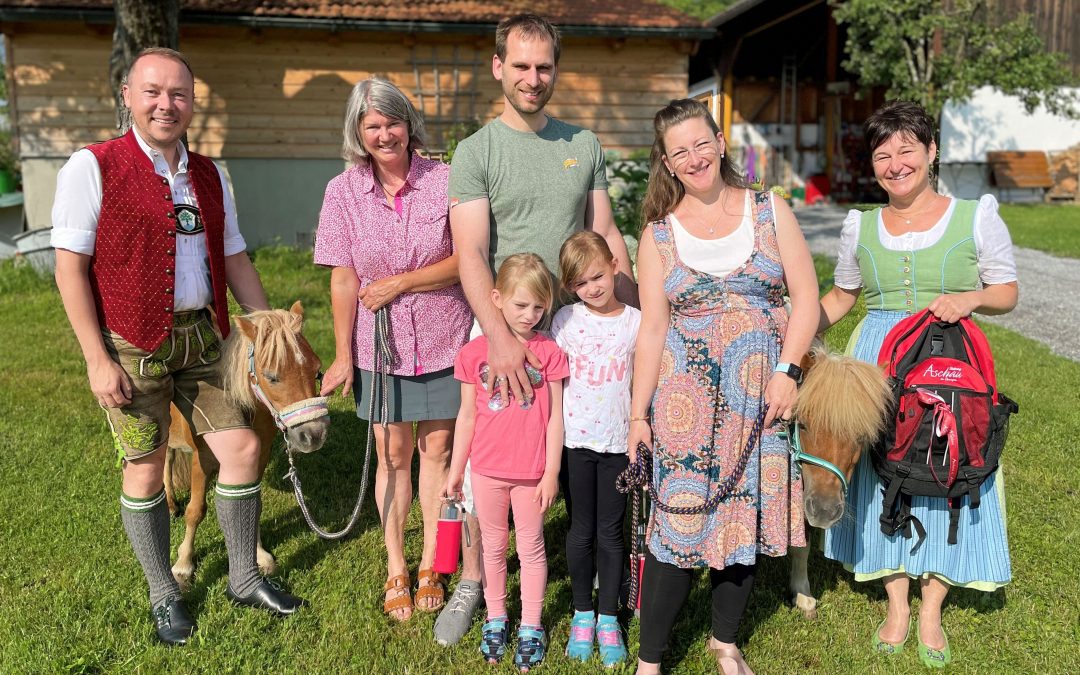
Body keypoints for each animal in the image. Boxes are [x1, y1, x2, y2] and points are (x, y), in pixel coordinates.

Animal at [164, 302, 328, 587]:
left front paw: (260, 555)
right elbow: (196, 511)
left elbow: (254, 504)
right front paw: (184, 565)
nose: (314, 434)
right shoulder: (201, 461)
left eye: (316, 370)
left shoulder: (258, 457)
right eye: (272, 377)